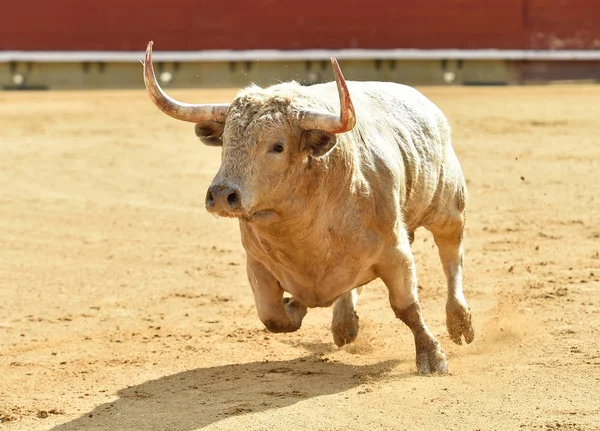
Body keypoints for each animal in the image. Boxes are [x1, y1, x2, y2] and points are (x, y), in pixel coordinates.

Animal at [142, 42, 474, 376]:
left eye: (278, 146)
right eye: (224, 141)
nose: (222, 195)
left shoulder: (395, 250)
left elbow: (407, 307)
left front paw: (432, 356)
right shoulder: (257, 261)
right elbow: (272, 316)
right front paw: (296, 305)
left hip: (449, 206)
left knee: (451, 256)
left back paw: (460, 322)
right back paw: (344, 323)